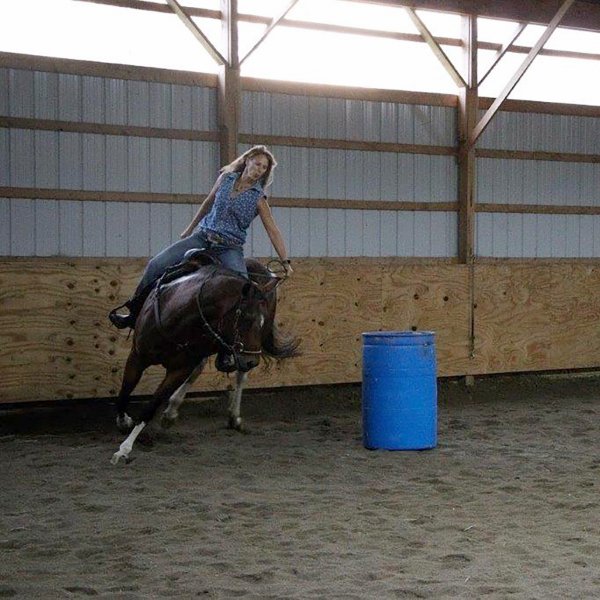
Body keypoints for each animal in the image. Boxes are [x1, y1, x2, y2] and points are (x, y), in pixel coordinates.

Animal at [110, 258, 300, 464]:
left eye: (263, 322)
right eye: (246, 318)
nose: (252, 362)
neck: (178, 317)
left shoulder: (180, 370)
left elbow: (151, 407)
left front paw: (124, 449)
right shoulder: (137, 357)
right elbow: (124, 392)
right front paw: (123, 422)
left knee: (239, 376)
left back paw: (234, 417)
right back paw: (171, 412)